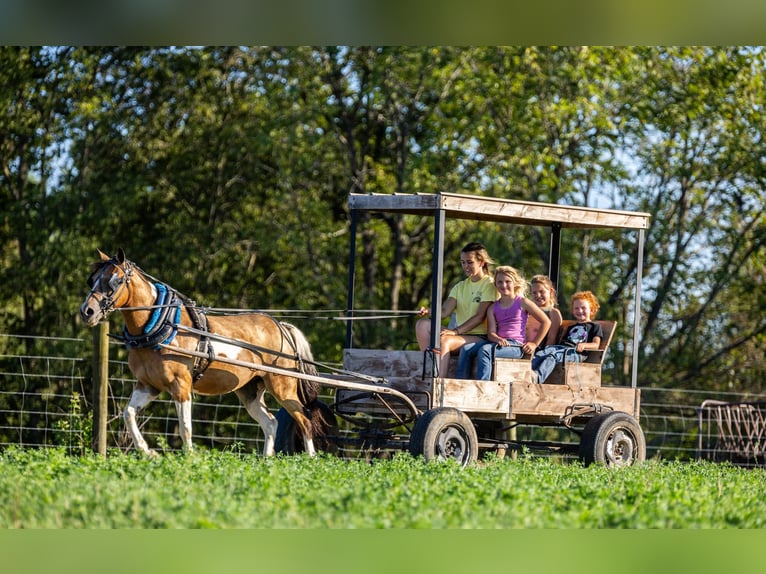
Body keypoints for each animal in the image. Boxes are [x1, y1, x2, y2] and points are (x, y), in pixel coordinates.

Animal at [79, 248, 327, 457]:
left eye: (116, 280)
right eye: (92, 279)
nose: (87, 311)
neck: (160, 326)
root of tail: (280, 327)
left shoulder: (181, 385)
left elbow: (185, 428)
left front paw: (189, 458)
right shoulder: (148, 385)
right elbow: (128, 414)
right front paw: (147, 452)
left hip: (283, 386)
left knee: (304, 420)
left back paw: (311, 460)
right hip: (250, 390)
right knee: (270, 423)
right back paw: (267, 460)